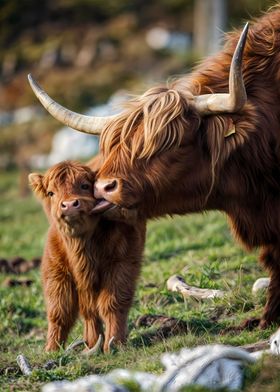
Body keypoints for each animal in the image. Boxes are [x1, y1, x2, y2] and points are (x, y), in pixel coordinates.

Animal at [29, 161, 145, 350]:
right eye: (51, 193)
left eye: (85, 186)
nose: (69, 205)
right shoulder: (57, 273)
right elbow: (60, 311)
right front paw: (52, 349)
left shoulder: (122, 264)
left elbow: (112, 303)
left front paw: (114, 342)